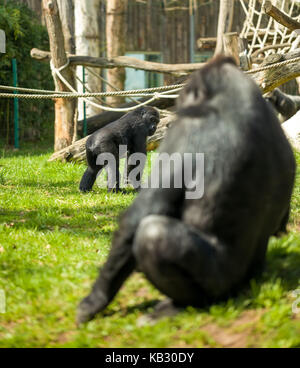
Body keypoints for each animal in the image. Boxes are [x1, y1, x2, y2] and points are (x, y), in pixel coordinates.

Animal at [77, 56, 296, 324]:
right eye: (153, 122)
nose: (154, 128)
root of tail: (89, 140)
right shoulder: (150, 130)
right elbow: (136, 160)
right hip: (102, 145)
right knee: (109, 166)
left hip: (92, 151)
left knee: (93, 169)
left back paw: (86, 188)